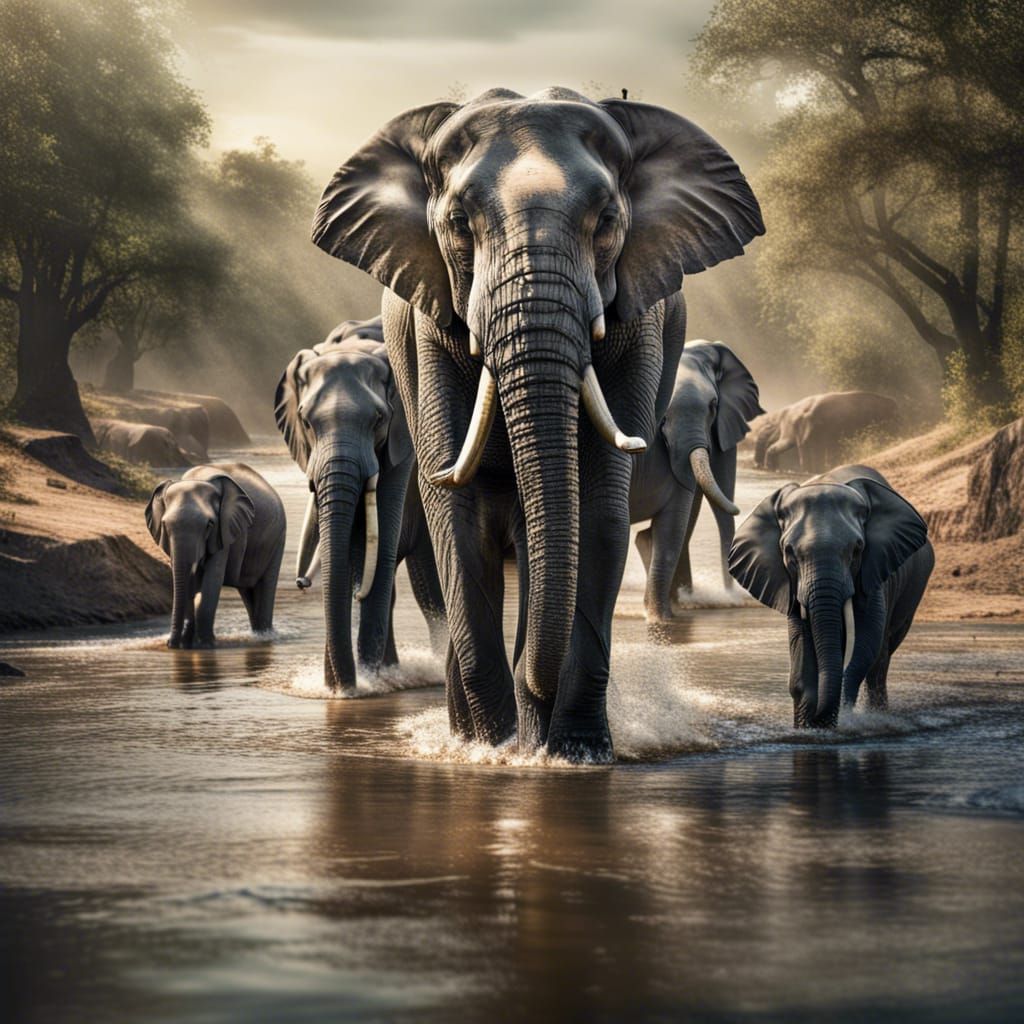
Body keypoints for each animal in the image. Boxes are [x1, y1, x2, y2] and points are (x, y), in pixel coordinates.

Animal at [145, 463, 286, 648]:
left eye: (209, 525)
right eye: (165, 525)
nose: (170, 643)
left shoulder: (225, 529)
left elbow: (212, 579)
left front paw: (205, 645)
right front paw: (187, 645)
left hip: (277, 539)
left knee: (265, 586)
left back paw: (265, 636)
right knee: (248, 590)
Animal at [276, 317, 446, 691]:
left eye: (378, 420)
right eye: (306, 421)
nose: (301, 583)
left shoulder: (403, 439)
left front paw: (365, 683)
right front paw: (344, 687)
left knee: (428, 584)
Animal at [629, 340, 763, 620]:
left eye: (713, 405)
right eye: (663, 413)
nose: (734, 597)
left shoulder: (723, 423)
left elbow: (676, 521)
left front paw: (662, 617)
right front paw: (662, 619)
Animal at [729, 464, 934, 727]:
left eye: (857, 549)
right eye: (788, 552)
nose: (817, 719)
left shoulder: (874, 570)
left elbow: (866, 640)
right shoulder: (791, 585)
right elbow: (801, 642)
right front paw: (809, 726)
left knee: (881, 659)